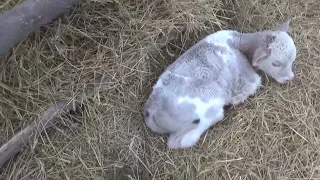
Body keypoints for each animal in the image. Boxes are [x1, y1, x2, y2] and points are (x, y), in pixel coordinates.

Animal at [144, 19, 296, 149]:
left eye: (293, 60)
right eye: (275, 63)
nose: (290, 78)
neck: (237, 44)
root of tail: (151, 112)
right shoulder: (245, 76)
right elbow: (255, 83)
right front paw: (237, 98)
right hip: (209, 99)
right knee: (181, 141)